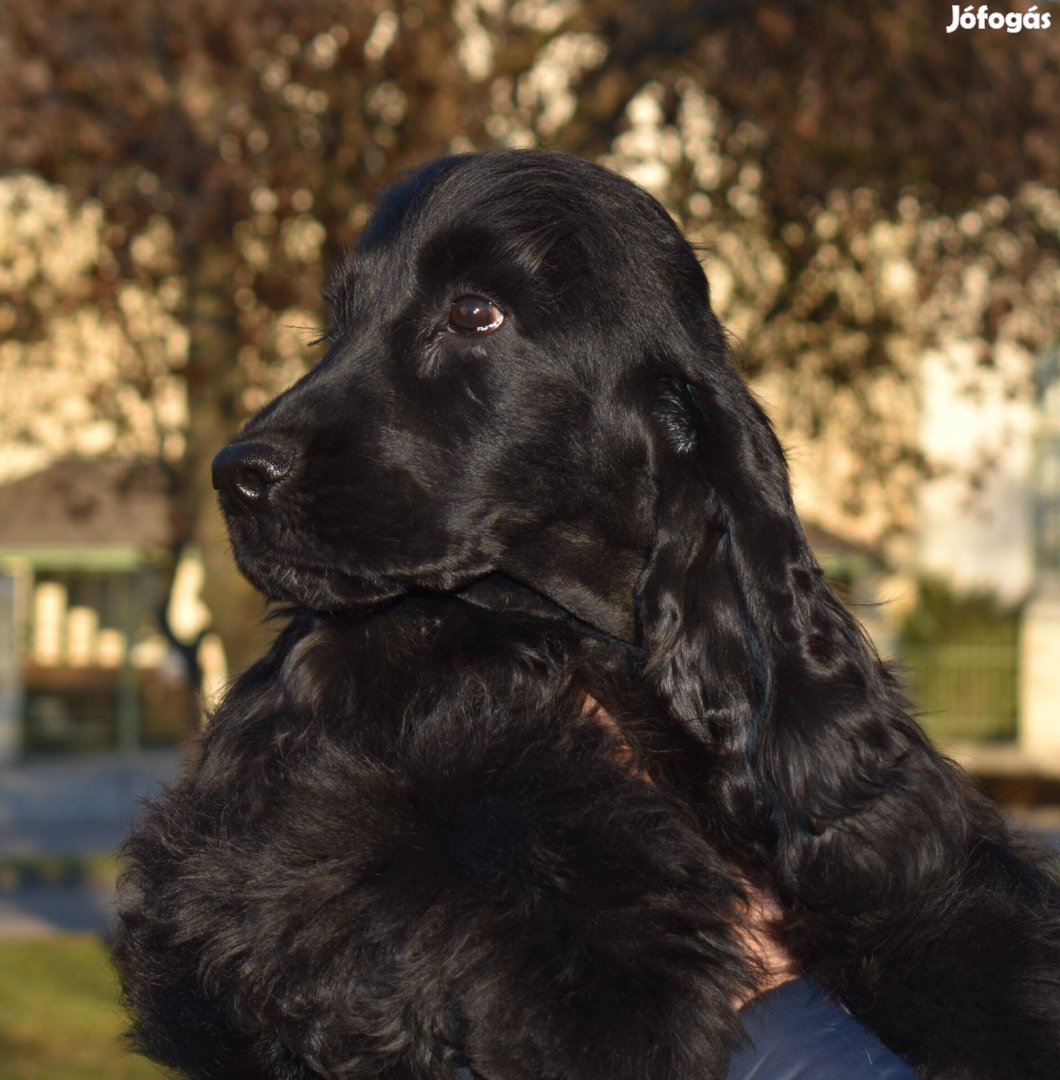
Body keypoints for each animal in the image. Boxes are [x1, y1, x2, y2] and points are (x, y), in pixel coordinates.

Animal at [115, 152, 1058, 1080]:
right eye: (335, 327)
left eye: (475, 313)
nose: (234, 474)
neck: (567, 625)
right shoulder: (232, 865)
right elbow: (444, 830)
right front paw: (624, 981)